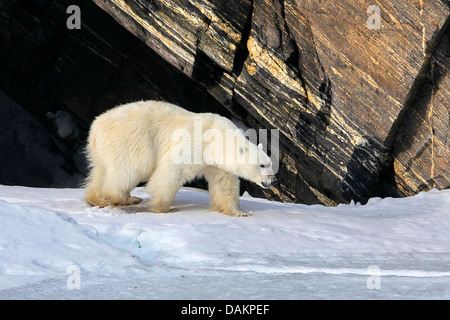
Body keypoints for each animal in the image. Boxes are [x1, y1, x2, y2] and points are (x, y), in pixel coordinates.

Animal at [82, 101, 276, 216]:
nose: (272, 181)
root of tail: (96, 127)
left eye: (270, 164)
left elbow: (224, 183)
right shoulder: (196, 142)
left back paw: (96, 198)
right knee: (130, 167)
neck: (217, 137)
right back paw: (125, 198)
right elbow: (173, 170)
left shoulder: (216, 163)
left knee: (101, 170)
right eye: (262, 165)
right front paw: (166, 207)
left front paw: (239, 212)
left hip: (102, 149)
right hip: (132, 138)